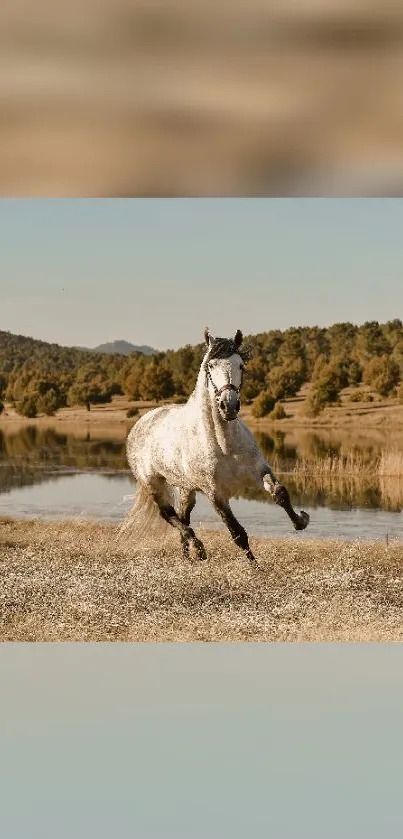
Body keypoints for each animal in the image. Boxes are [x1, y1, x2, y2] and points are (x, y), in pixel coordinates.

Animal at [124, 328, 310, 564]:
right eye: (210, 366)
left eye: (241, 365)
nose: (228, 406)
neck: (224, 444)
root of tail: (141, 422)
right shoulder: (215, 494)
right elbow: (238, 533)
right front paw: (257, 568)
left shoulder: (259, 471)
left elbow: (280, 493)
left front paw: (301, 520)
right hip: (153, 484)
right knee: (170, 516)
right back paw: (198, 547)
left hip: (186, 488)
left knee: (183, 516)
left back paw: (188, 557)